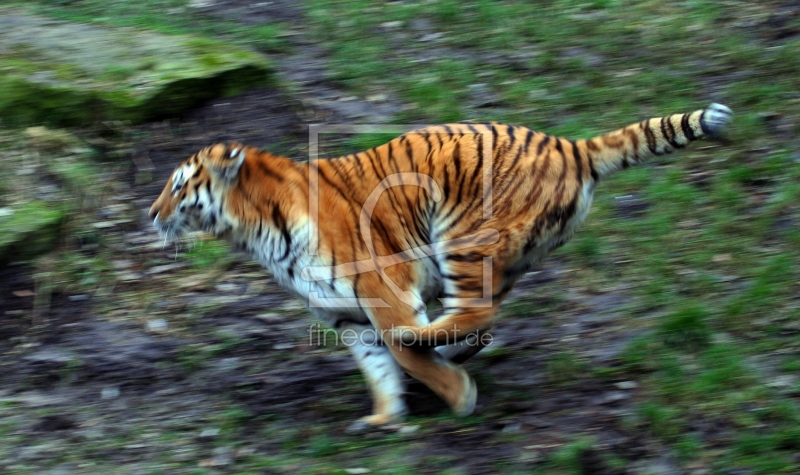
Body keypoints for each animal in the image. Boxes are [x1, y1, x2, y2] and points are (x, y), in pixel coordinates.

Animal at [148, 102, 732, 434]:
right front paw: (386, 418)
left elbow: (404, 360)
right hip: (500, 258)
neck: (254, 232)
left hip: (462, 237)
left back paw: (429, 340)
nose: (150, 213)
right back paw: (446, 347)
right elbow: (379, 371)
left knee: (463, 319)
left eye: (178, 185)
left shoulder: (381, 290)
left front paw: (457, 397)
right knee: (480, 320)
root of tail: (572, 146)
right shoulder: (348, 318)